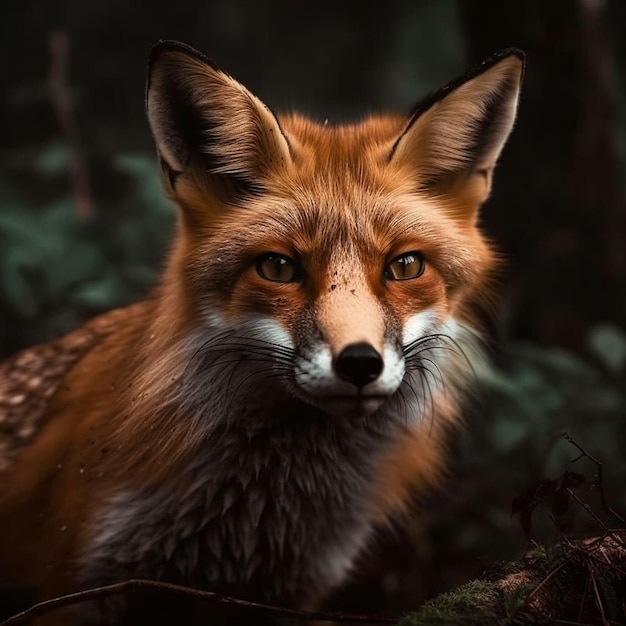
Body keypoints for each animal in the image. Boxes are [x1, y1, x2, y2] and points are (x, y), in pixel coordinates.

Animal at [0, 41, 520, 620]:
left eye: (405, 266)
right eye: (277, 267)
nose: (359, 363)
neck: (255, 519)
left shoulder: (293, 592)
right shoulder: (74, 587)